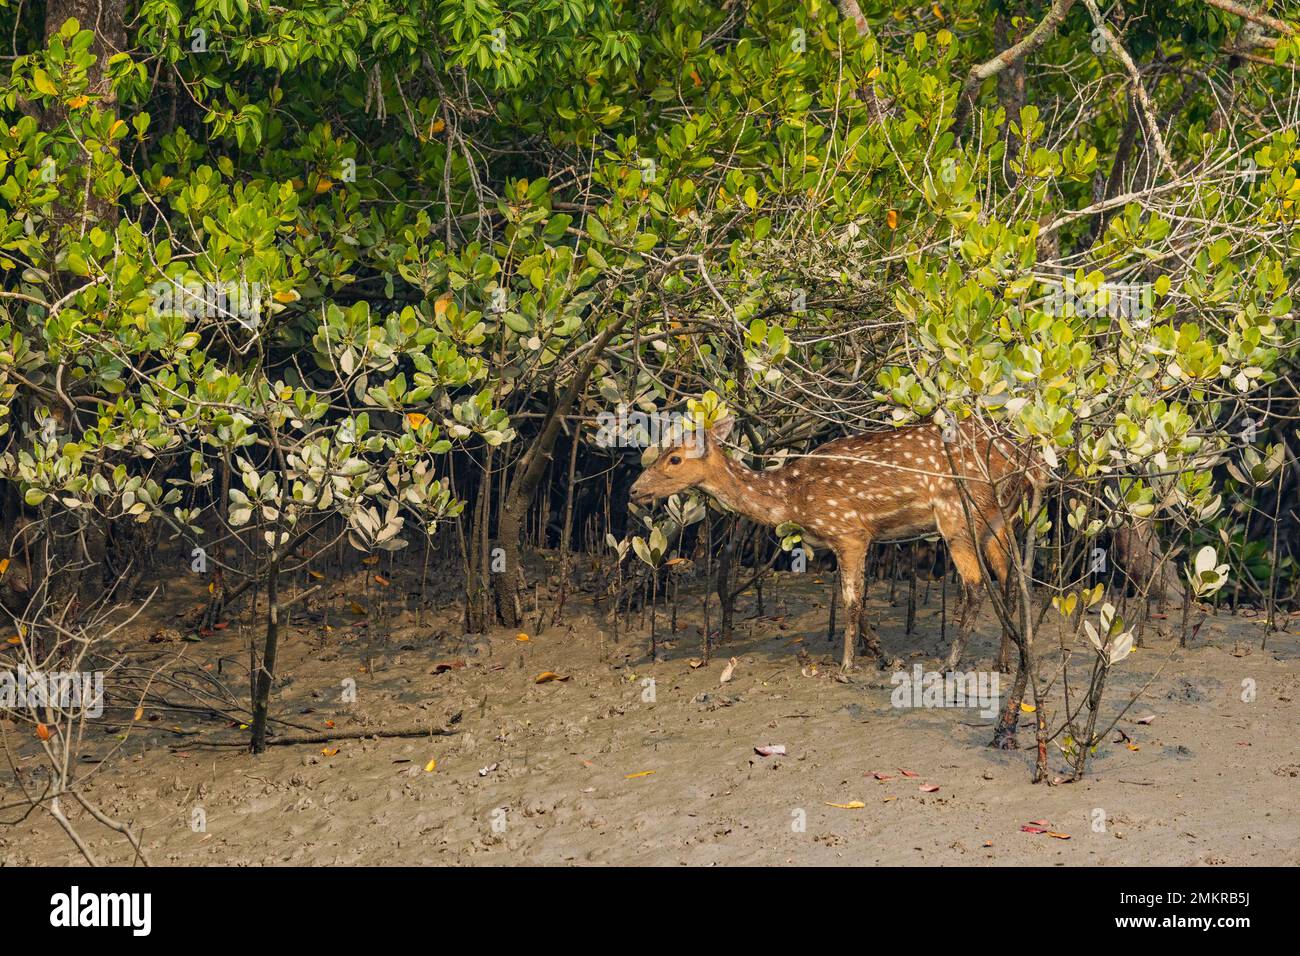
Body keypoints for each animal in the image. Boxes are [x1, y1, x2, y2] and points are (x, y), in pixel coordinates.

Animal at [629, 414, 1034, 673]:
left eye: (674, 458)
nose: (634, 490)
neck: (791, 499)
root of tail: (1019, 460)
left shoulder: (849, 530)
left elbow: (852, 601)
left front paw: (846, 664)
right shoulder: (844, 539)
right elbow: (857, 599)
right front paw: (885, 657)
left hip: (957, 514)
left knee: (976, 585)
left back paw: (950, 662)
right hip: (997, 518)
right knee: (1011, 577)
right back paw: (1004, 660)